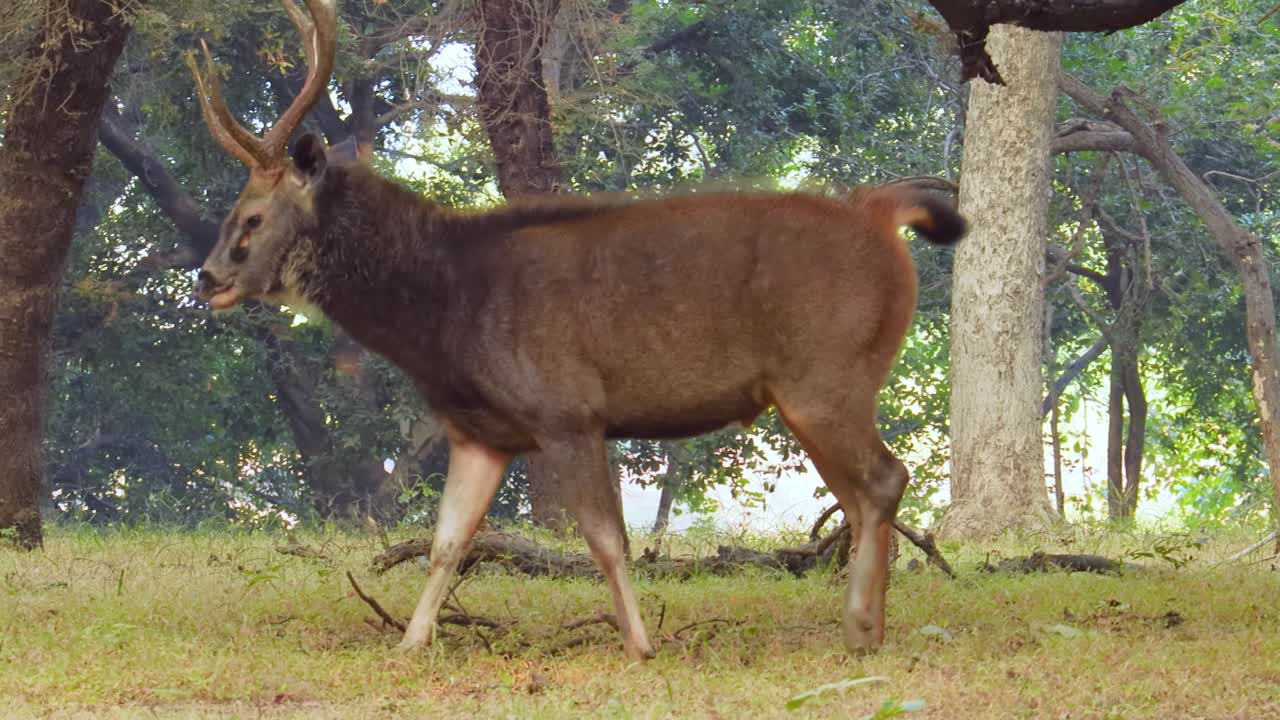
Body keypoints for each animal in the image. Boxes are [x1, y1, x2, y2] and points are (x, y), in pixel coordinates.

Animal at [187, 0, 966, 661]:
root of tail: (883, 214)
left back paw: (861, 627)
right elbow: (447, 543)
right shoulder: (480, 433)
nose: (208, 278)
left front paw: (641, 647)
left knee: (885, 478)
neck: (442, 314)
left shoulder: (568, 408)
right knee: (864, 492)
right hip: (812, 390)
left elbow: (606, 542)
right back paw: (866, 628)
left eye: (251, 217)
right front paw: (409, 643)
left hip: (826, 373)